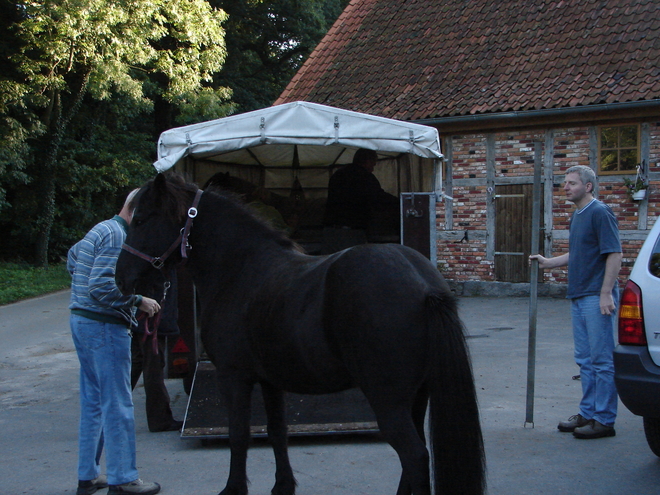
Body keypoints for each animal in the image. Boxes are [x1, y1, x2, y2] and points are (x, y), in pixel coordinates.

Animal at [114, 174, 484, 495]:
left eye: (141, 220)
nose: (121, 278)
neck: (240, 270)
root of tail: (424, 285)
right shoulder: (270, 380)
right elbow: (277, 432)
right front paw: (282, 487)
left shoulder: (234, 376)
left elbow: (239, 435)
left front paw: (233, 489)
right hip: (417, 396)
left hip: (389, 402)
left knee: (415, 457)